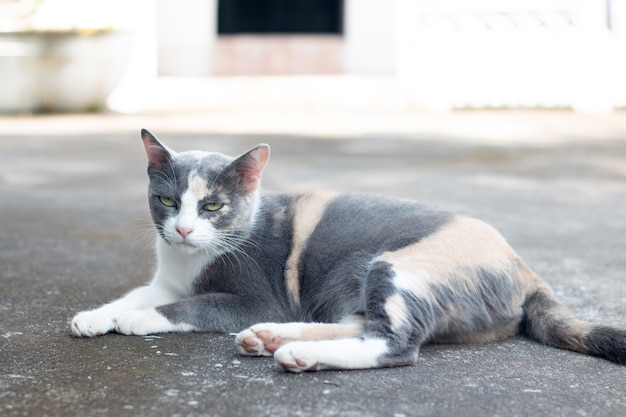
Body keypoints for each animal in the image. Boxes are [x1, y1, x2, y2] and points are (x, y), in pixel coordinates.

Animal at [70, 129, 620, 370]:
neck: (188, 260)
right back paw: (271, 338)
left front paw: (140, 320)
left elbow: (188, 306)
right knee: (361, 323)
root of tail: (526, 269)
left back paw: (295, 351)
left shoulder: (258, 296)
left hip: (398, 264)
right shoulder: (165, 279)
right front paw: (96, 316)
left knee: (396, 345)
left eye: (212, 206)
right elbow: (135, 294)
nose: (183, 230)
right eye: (167, 200)